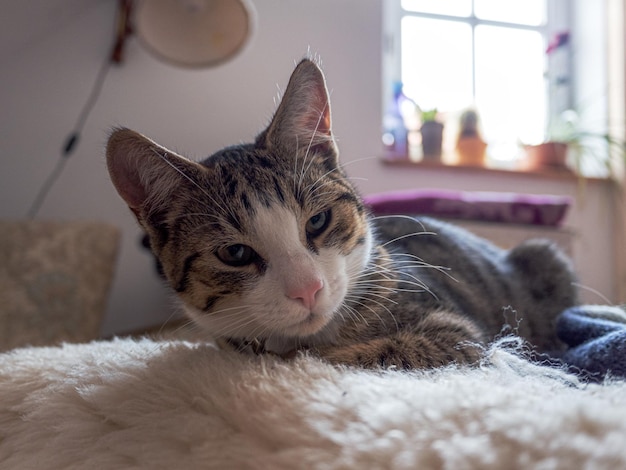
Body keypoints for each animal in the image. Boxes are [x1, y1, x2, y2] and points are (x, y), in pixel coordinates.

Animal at [105, 58, 576, 370]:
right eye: (234, 254)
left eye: (317, 221)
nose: (307, 290)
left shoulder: (457, 332)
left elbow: (372, 352)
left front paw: (309, 356)